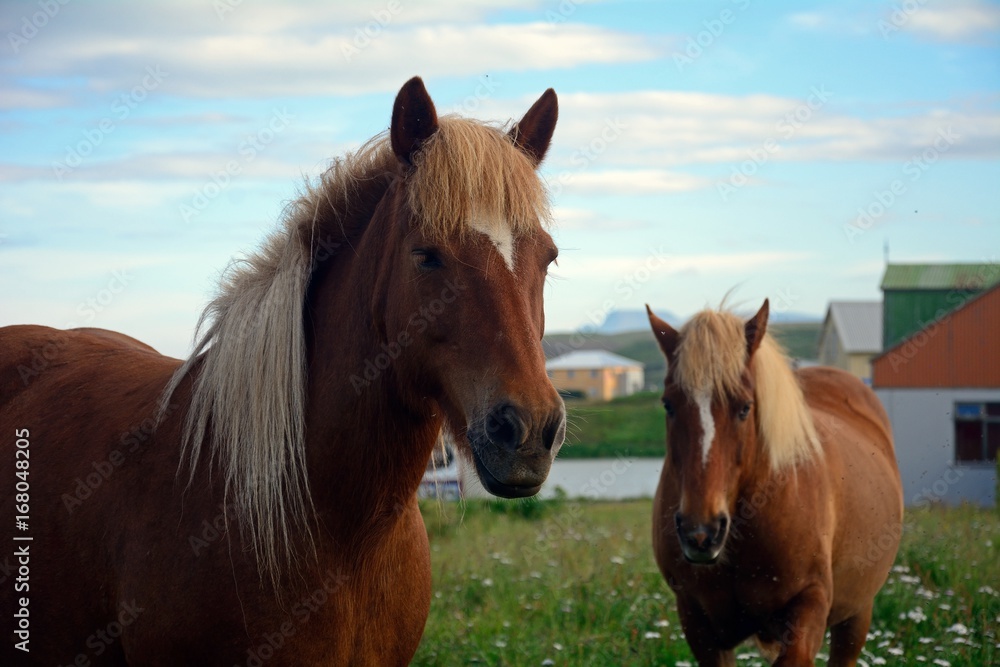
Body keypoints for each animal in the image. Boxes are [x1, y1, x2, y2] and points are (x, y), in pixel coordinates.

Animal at [646, 300, 902, 666]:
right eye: (668, 404)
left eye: (744, 407)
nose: (701, 532)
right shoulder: (699, 622)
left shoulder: (808, 607)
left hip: (857, 614)